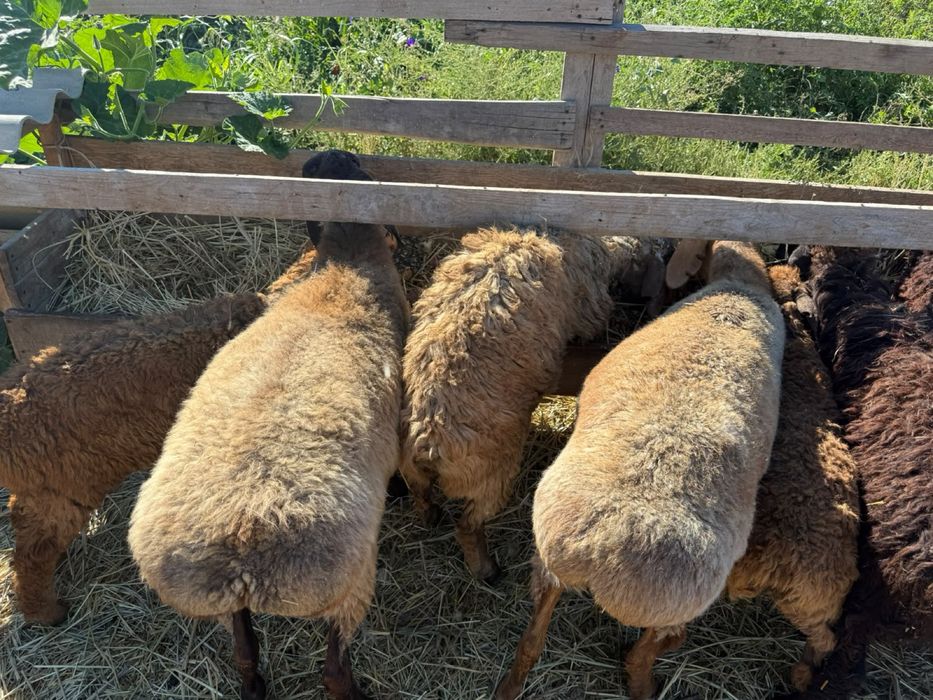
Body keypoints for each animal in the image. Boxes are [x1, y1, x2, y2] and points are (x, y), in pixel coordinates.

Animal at [128, 150, 409, 700]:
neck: (343, 270)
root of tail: (240, 552)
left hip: (225, 607)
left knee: (245, 653)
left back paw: (253, 685)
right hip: (348, 583)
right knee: (333, 671)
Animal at [399, 227, 665, 582]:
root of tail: (426, 442)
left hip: (414, 473)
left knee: (422, 497)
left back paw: (431, 519)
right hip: (489, 477)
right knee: (468, 526)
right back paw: (488, 571)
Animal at [495, 239, 785, 700]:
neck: (738, 288)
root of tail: (599, 552)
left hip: (547, 559)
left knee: (532, 638)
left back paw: (509, 685)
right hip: (675, 606)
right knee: (651, 648)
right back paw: (646, 682)